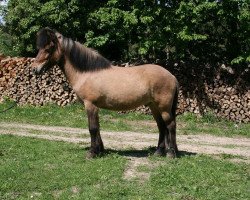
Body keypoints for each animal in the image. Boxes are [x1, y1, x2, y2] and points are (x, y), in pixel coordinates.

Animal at [31, 27, 180, 159]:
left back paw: (171, 153)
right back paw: (159, 152)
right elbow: (97, 128)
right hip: (153, 106)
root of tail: (172, 76)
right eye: (40, 48)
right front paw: (100, 150)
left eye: (48, 48)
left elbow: (92, 128)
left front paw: (91, 153)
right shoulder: (94, 106)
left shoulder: (90, 105)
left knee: (170, 125)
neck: (87, 72)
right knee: (161, 126)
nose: (34, 69)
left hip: (163, 107)